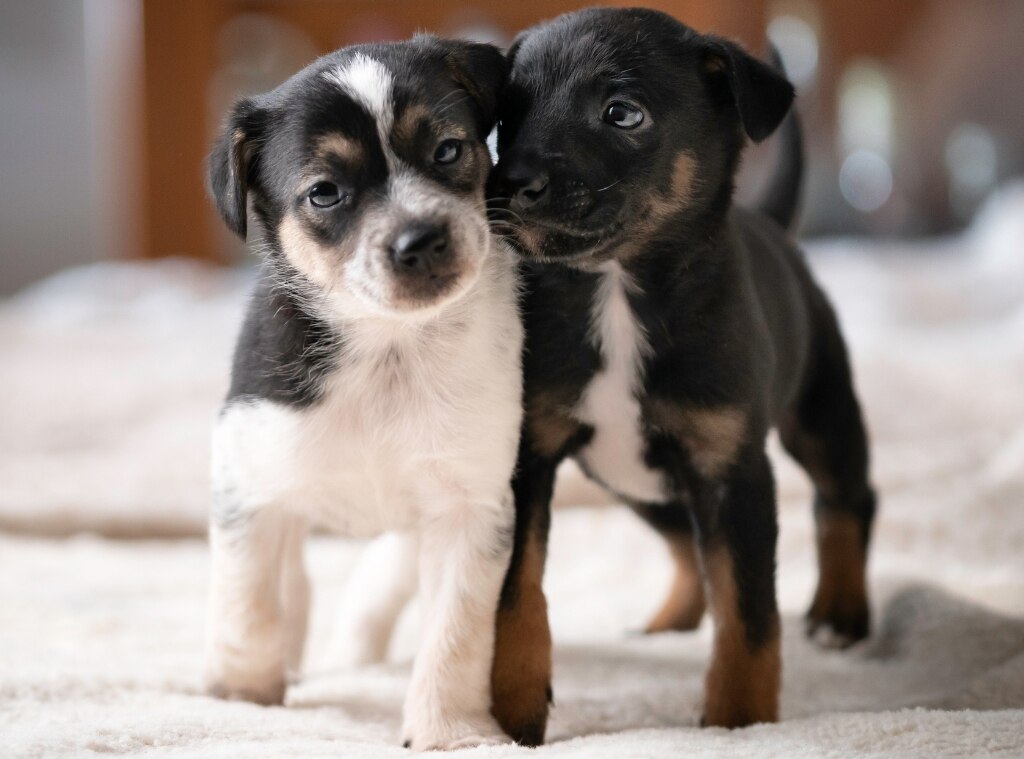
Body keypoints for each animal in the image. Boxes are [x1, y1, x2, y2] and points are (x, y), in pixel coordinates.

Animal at [200, 34, 524, 745]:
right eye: (324, 193)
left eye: (447, 150)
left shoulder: (469, 508)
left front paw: (451, 733)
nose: (421, 240)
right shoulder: (251, 486)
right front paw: (243, 699)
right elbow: (250, 607)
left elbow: (455, 636)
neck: (388, 350)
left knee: (375, 589)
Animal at [487, 8, 880, 737]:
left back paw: (841, 613)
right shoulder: (529, 459)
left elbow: (748, 616)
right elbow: (514, 588)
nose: (507, 185)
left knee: (845, 500)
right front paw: (512, 708)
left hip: (821, 413)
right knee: (684, 544)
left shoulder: (733, 473)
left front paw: (739, 723)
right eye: (508, 116)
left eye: (622, 113)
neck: (616, 289)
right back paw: (669, 621)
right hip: (629, 480)